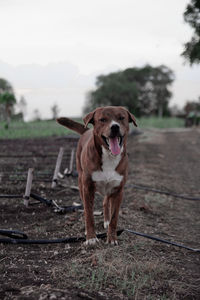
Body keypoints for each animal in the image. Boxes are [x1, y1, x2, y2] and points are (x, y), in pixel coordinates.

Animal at [57, 106, 137, 245]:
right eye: (102, 119)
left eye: (121, 118)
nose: (115, 127)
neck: (109, 156)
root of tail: (87, 131)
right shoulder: (88, 187)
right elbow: (89, 213)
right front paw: (91, 237)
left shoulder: (118, 190)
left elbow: (114, 217)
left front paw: (112, 238)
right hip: (81, 182)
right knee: (85, 207)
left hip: (109, 188)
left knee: (105, 202)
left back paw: (106, 221)